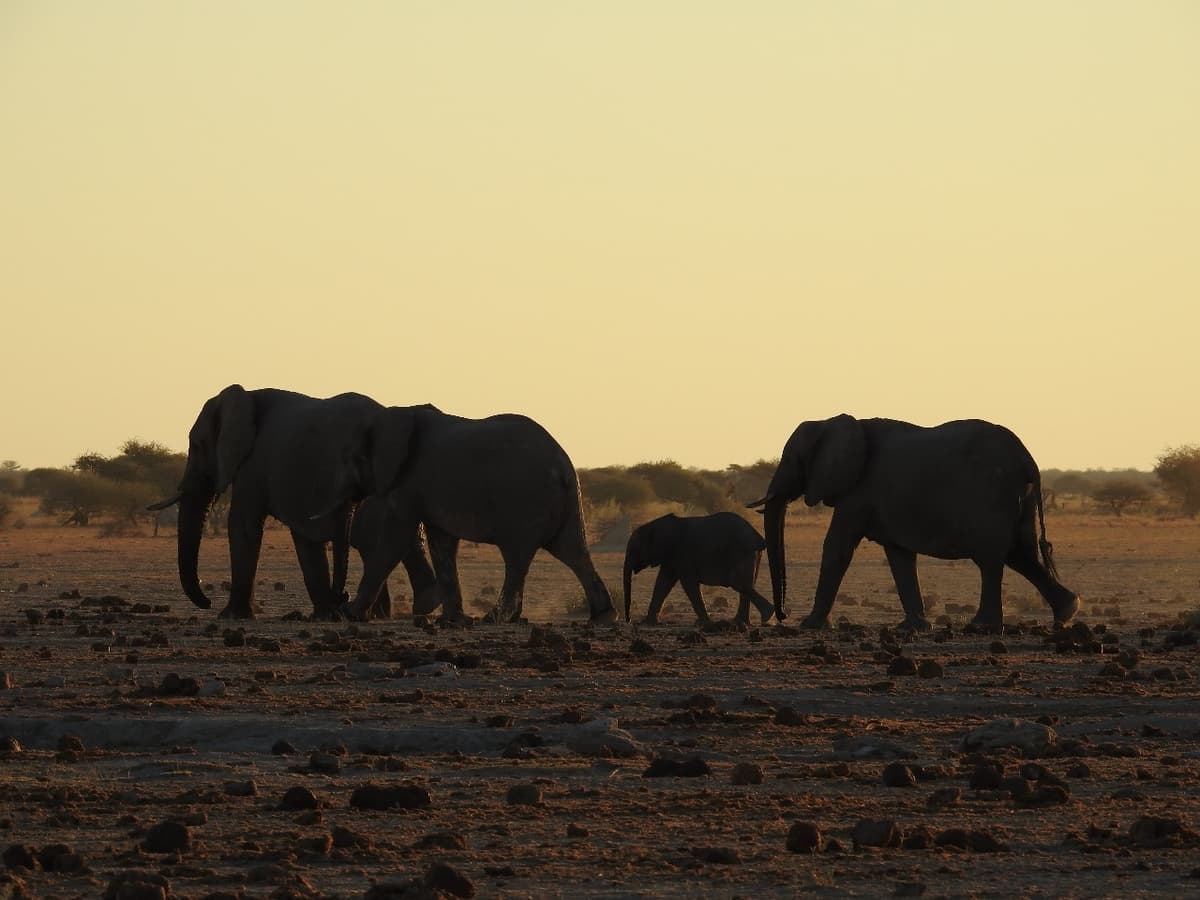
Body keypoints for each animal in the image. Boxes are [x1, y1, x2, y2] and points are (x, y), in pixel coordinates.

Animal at [149, 385, 439, 619]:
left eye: (197, 445)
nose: (207, 602)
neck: (245, 397)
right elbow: (304, 537)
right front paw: (325, 616)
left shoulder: (254, 462)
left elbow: (243, 525)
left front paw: (231, 616)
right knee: (400, 543)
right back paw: (421, 606)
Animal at [336, 404, 618, 625]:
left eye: (351, 458)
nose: (342, 602)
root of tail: (563, 466)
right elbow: (441, 542)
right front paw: (452, 620)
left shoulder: (408, 482)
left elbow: (395, 539)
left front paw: (351, 614)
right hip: (566, 501)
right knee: (573, 551)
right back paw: (602, 617)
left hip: (524, 500)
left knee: (517, 557)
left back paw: (494, 618)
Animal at [622, 512, 775, 626]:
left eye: (633, 550)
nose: (628, 620)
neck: (653, 525)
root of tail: (758, 537)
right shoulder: (671, 557)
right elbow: (663, 583)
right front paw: (649, 622)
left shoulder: (682, 553)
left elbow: (688, 583)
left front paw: (703, 623)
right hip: (751, 553)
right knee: (746, 584)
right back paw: (742, 621)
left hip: (741, 552)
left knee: (738, 583)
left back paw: (767, 616)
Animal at [747, 415, 1079, 632]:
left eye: (792, 459)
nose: (783, 615)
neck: (830, 420)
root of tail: (1029, 461)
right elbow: (899, 555)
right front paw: (913, 628)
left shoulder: (859, 492)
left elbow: (837, 547)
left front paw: (810, 626)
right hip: (1018, 497)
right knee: (1022, 555)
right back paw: (1066, 613)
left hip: (993, 495)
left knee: (991, 559)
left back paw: (980, 627)